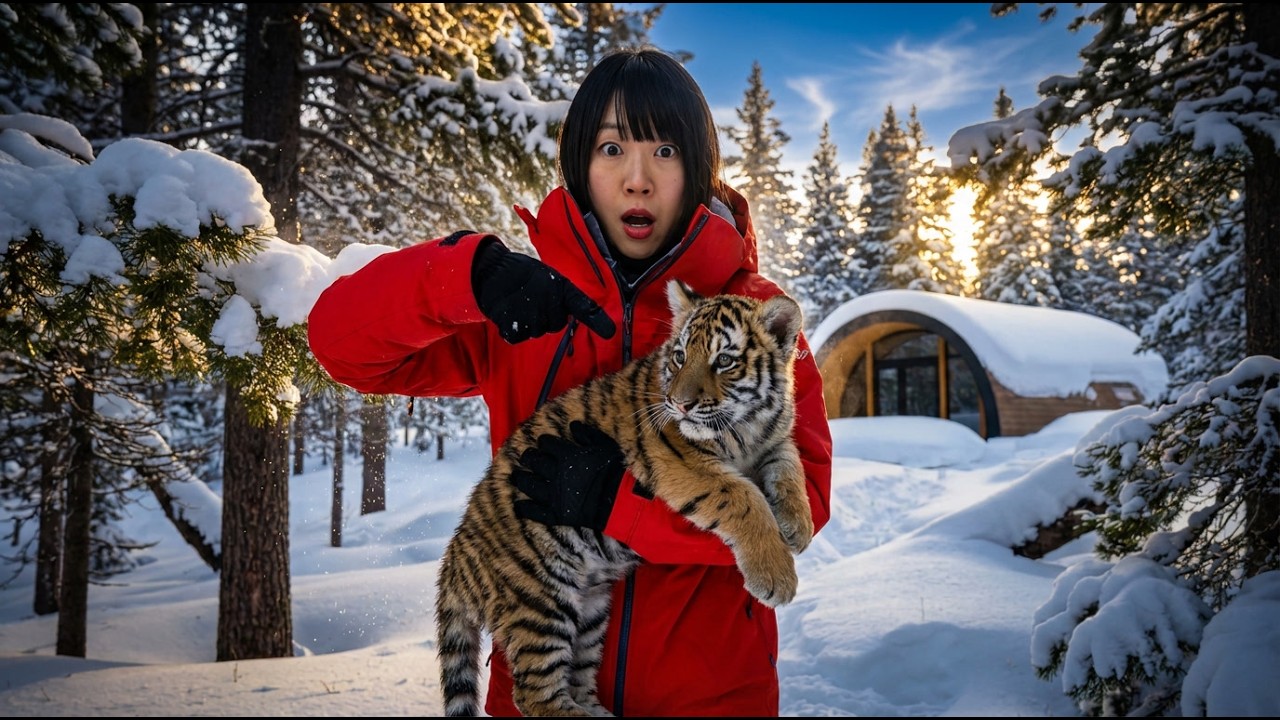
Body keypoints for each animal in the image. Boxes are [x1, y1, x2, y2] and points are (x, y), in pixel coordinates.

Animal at [434, 278, 814, 717]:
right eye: (680, 356)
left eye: (724, 361)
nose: (679, 404)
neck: (747, 426)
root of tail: (453, 559)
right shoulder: (679, 458)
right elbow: (742, 495)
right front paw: (776, 577)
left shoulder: (774, 440)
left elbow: (791, 468)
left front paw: (798, 526)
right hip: (539, 599)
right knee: (533, 694)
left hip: (590, 606)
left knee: (576, 679)